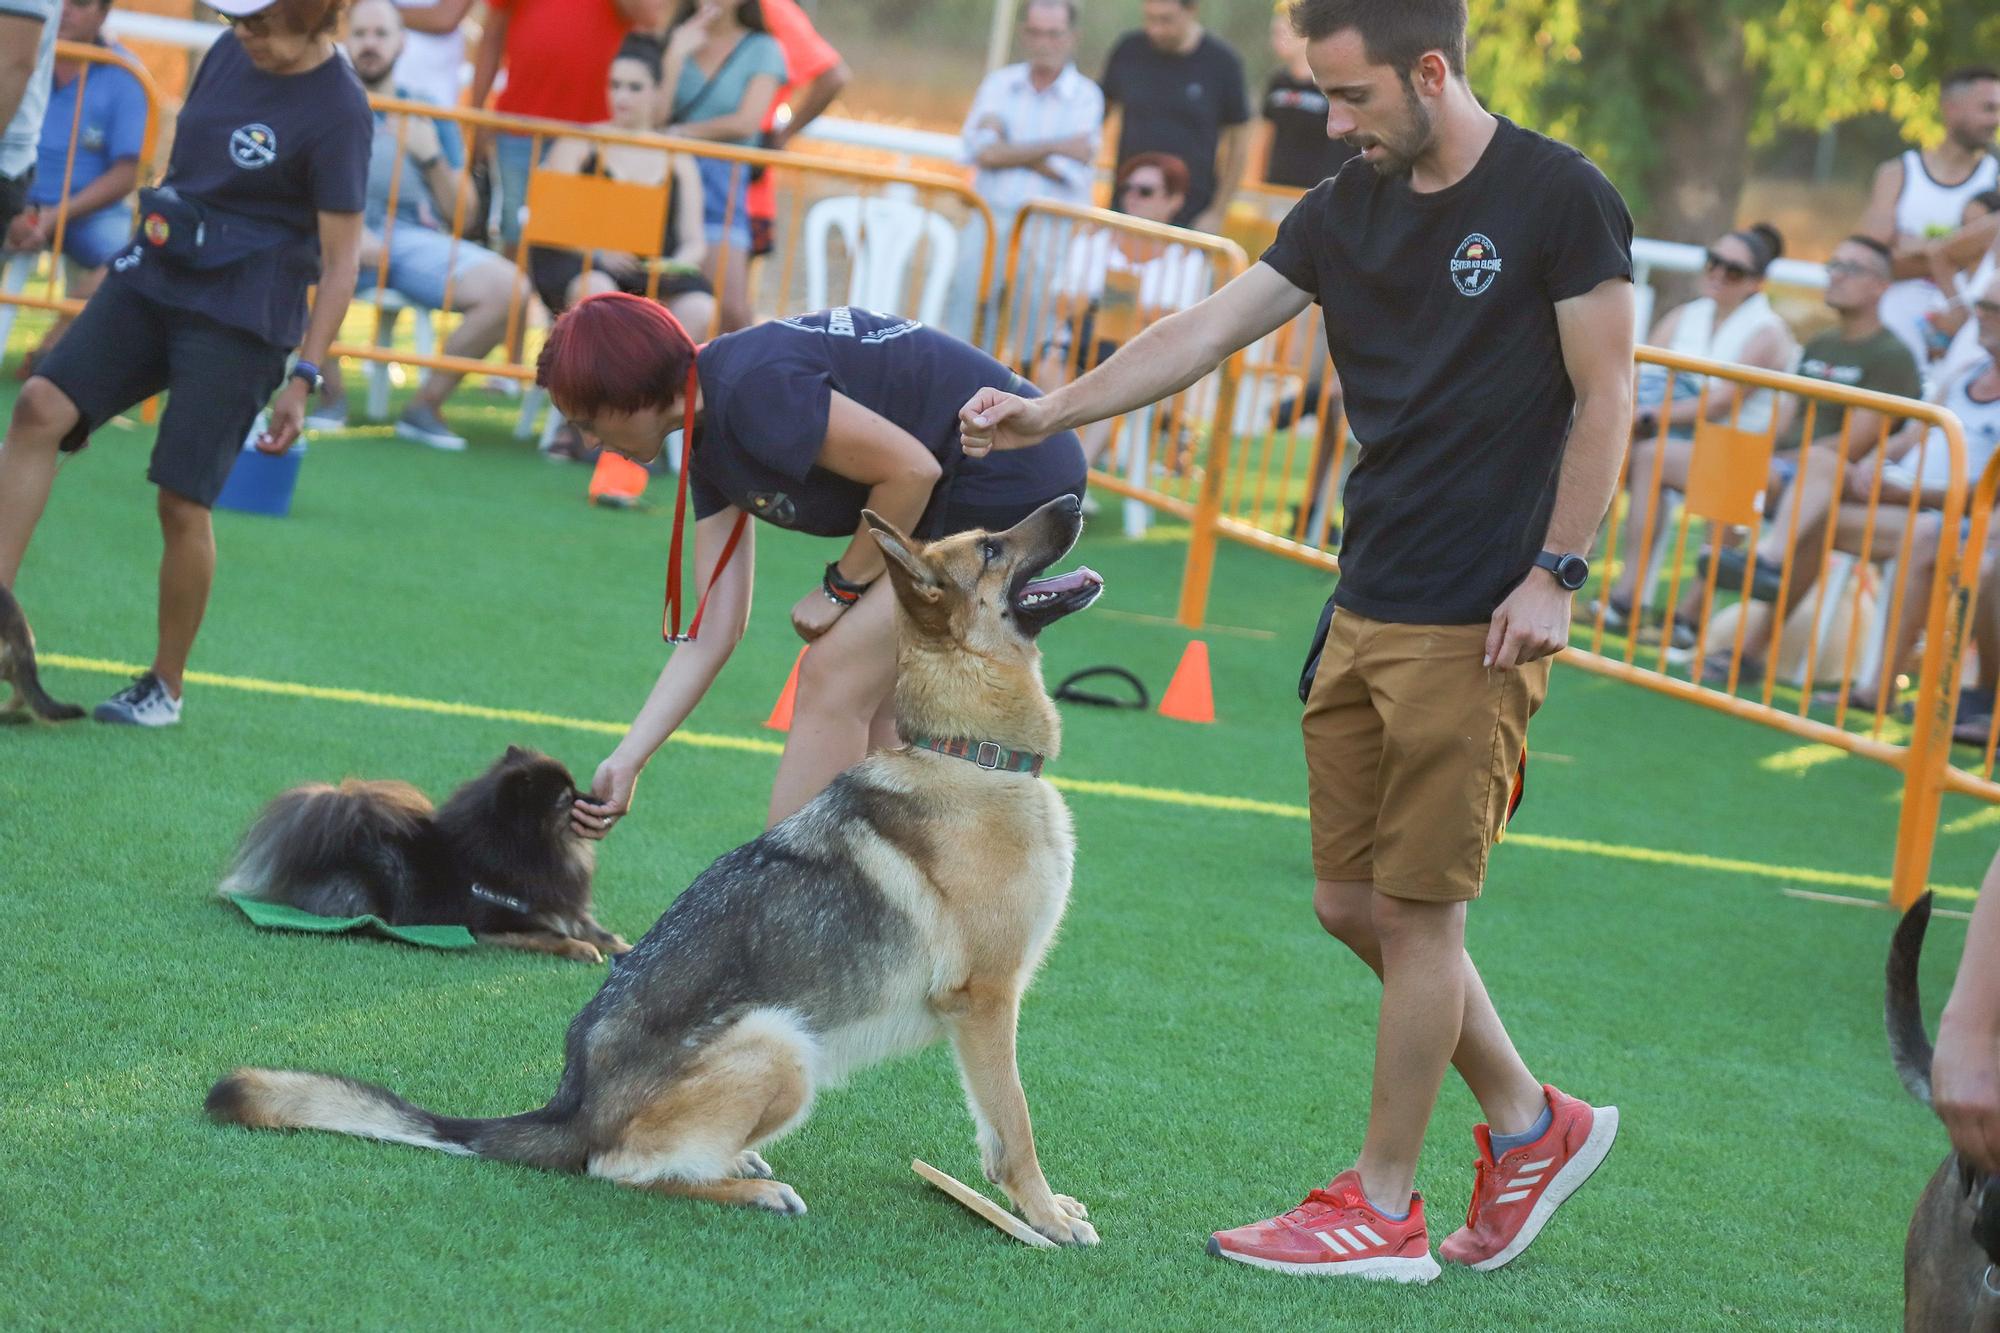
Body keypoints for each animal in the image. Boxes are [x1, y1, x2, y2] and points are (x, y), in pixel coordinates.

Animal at [218, 748, 628, 956]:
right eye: (566, 799)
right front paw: (581, 949)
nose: (600, 801)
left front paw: (622, 945)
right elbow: (552, 936)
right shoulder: (494, 925)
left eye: (576, 789)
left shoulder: (564, 907)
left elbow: (597, 930)